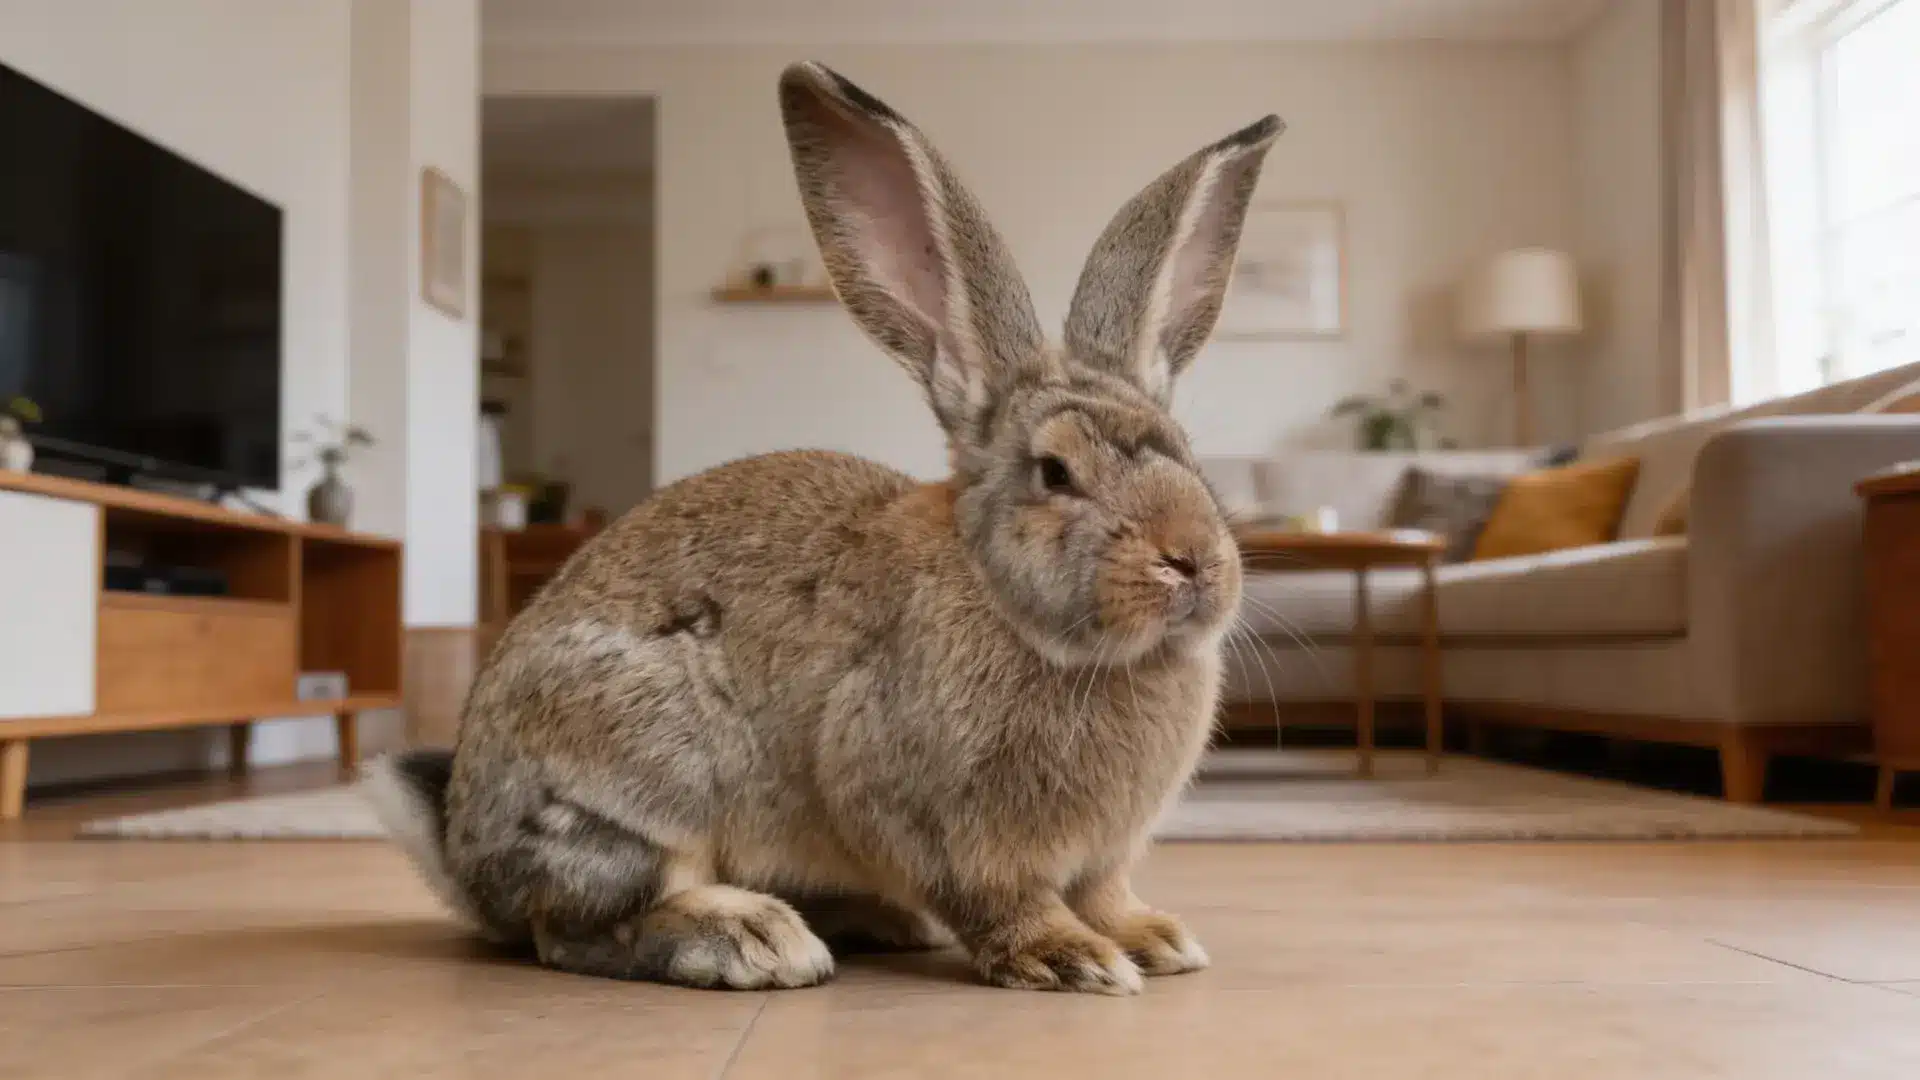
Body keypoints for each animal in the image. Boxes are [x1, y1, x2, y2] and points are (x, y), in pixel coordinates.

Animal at [363, 60, 1282, 996]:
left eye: (1189, 459)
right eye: (1055, 474)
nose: (1192, 562)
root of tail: (464, 858)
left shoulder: (1102, 857)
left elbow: (1105, 892)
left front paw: (1154, 939)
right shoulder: (935, 815)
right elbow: (1004, 901)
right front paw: (1072, 958)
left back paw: (879, 922)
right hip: (645, 778)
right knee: (575, 928)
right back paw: (751, 938)